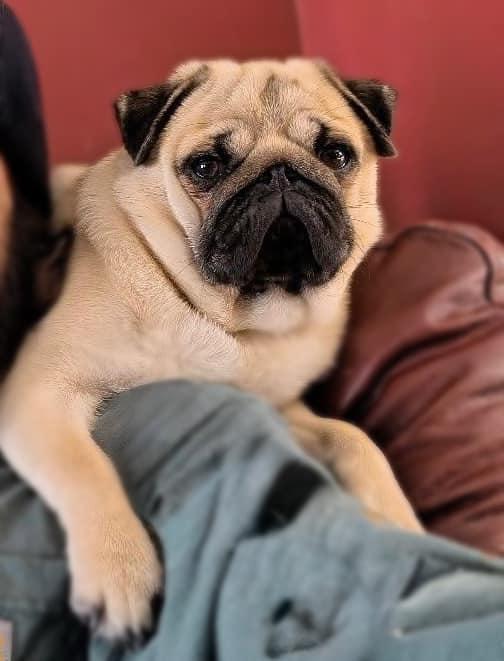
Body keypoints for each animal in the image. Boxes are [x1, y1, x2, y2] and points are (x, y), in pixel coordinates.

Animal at [0, 58, 421, 643]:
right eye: (206, 166)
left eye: (337, 155)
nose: (281, 174)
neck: (228, 319)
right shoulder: (41, 386)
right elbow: (84, 466)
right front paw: (119, 568)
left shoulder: (279, 408)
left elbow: (351, 438)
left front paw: (401, 522)